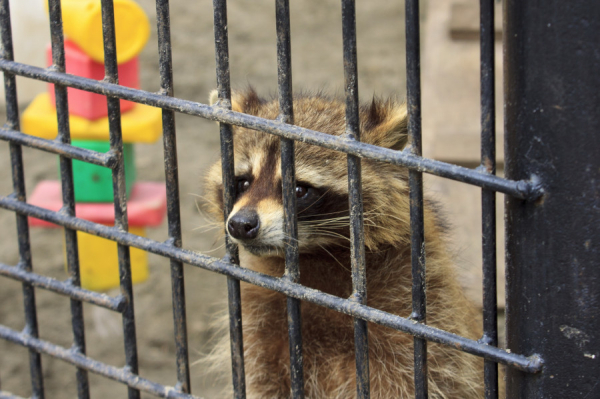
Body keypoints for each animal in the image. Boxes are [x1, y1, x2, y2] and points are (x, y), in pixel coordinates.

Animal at [204, 89, 486, 398]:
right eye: (243, 182)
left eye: (299, 189)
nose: (240, 225)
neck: (319, 255)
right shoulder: (260, 323)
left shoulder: (426, 313)